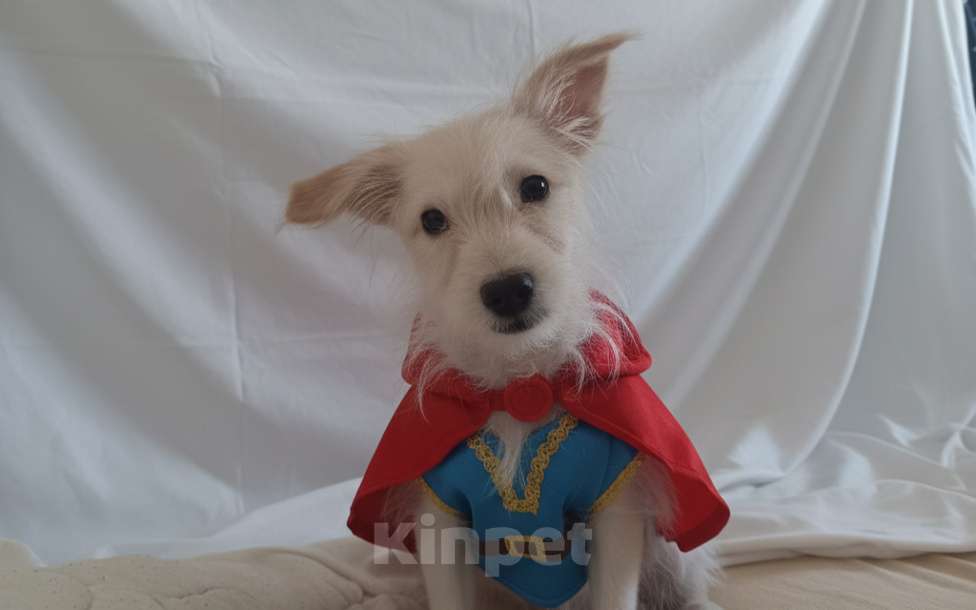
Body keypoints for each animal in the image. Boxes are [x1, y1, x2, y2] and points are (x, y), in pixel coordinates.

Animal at [285, 33, 722, 610]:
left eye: (535, 186)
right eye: (432, 220)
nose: (508, 290)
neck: (519, 382)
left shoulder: (619, 508)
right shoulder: (438, 516)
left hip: (674, 552)